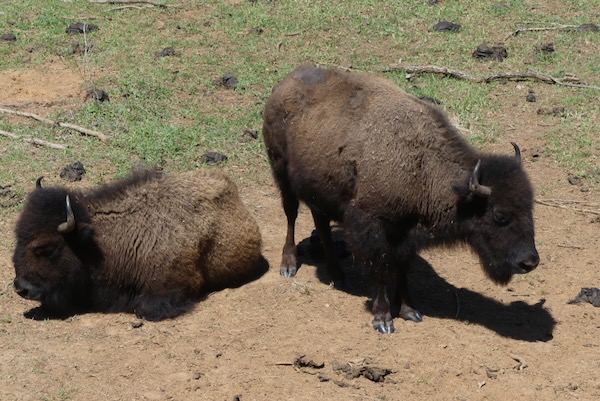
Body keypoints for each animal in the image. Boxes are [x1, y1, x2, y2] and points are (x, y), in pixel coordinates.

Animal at [262, 65, 540, 332]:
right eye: (500, 215)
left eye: (529, 208)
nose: (529, 262)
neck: (423, 167)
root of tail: (283, 85)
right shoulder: (371, 227)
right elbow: (380, 269)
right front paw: (383, 319)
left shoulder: (406, 233)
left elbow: (402, 268)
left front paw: (409, 310)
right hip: (281, 172)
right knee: (291, 214)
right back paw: (288, 265)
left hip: (319, 190)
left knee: (321, 225)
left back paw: (337, 275)